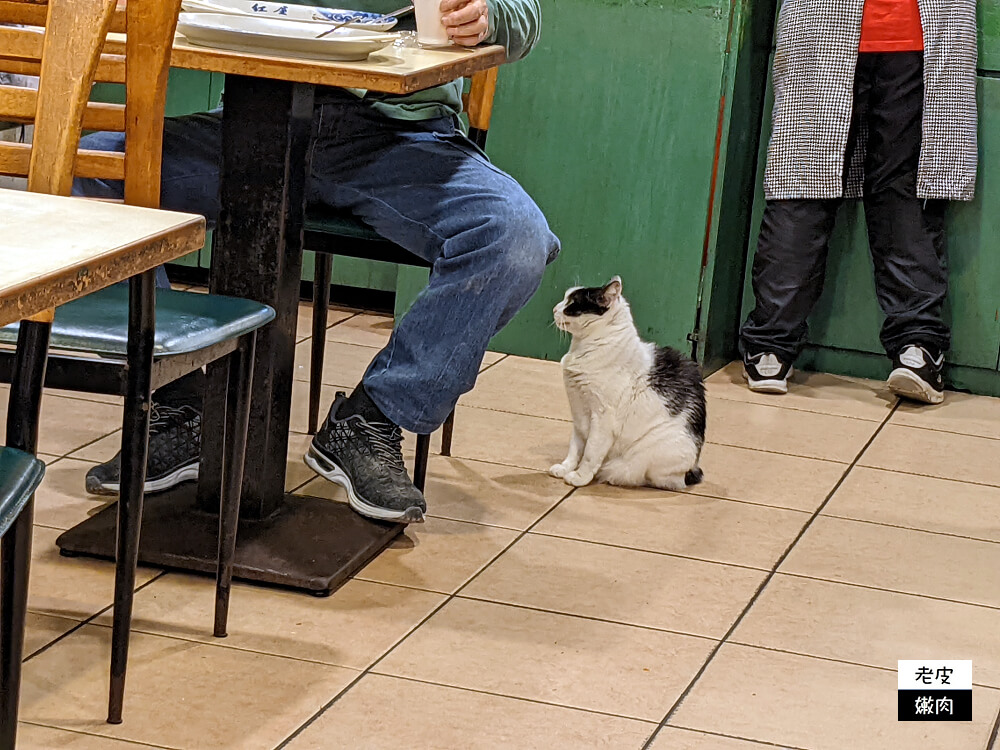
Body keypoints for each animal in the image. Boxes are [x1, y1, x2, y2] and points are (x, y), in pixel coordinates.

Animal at [552, 280, 708, 490]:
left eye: (572, 304)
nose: (555, 309)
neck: (582, 348)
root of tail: (692, 468)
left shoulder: (602, 418)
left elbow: (590, 452)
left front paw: (579, 477)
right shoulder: (578, 415)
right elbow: (575, 448)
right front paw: (565, 467)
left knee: (659, 480)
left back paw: (614, 475)